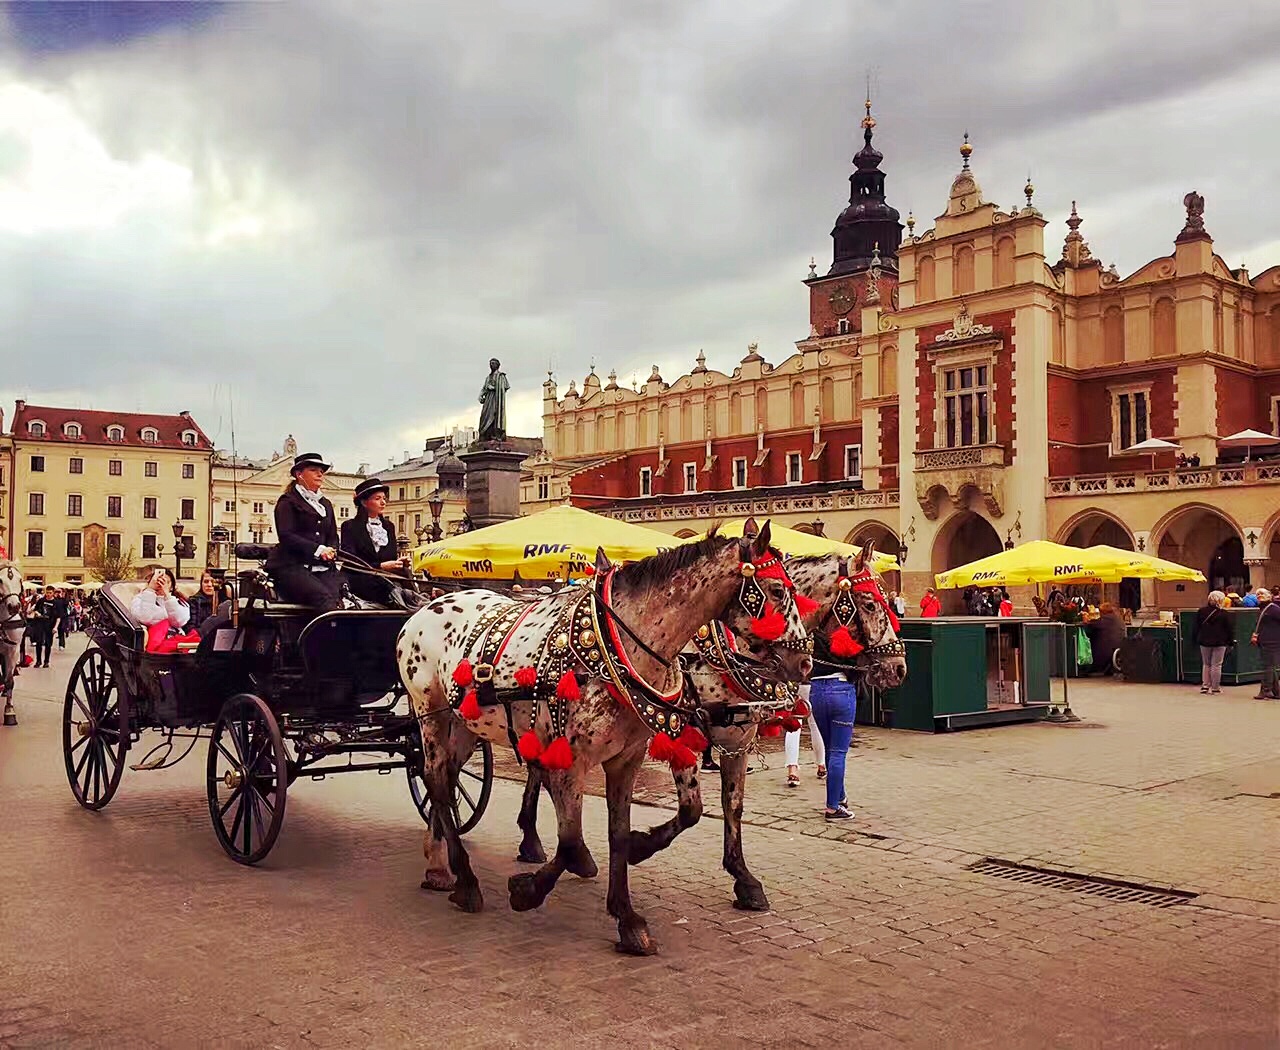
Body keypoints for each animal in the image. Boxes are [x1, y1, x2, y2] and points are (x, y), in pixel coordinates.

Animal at [396, 519, 808, 957]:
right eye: (777, 590)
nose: (805, 663)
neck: (619, 645)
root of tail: (422, 610)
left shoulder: (629, 758)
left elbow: (618, 835)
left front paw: (627, 917)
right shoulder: (573, 759)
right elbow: (571, 840)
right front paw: (527, 891)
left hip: (463, 724)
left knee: (443, 781)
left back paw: (439, 865)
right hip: (429, 713)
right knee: (437, 781)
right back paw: (465, 880)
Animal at [514, 540, 906, 911]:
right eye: (870, 603)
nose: (899, 668)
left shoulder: (738, 738)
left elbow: (733, 804)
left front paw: (744, 879)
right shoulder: (683, 737)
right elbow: (692, 809)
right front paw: (641, 845)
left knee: (540, 771)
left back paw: (536, 840)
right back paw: (540, 843)